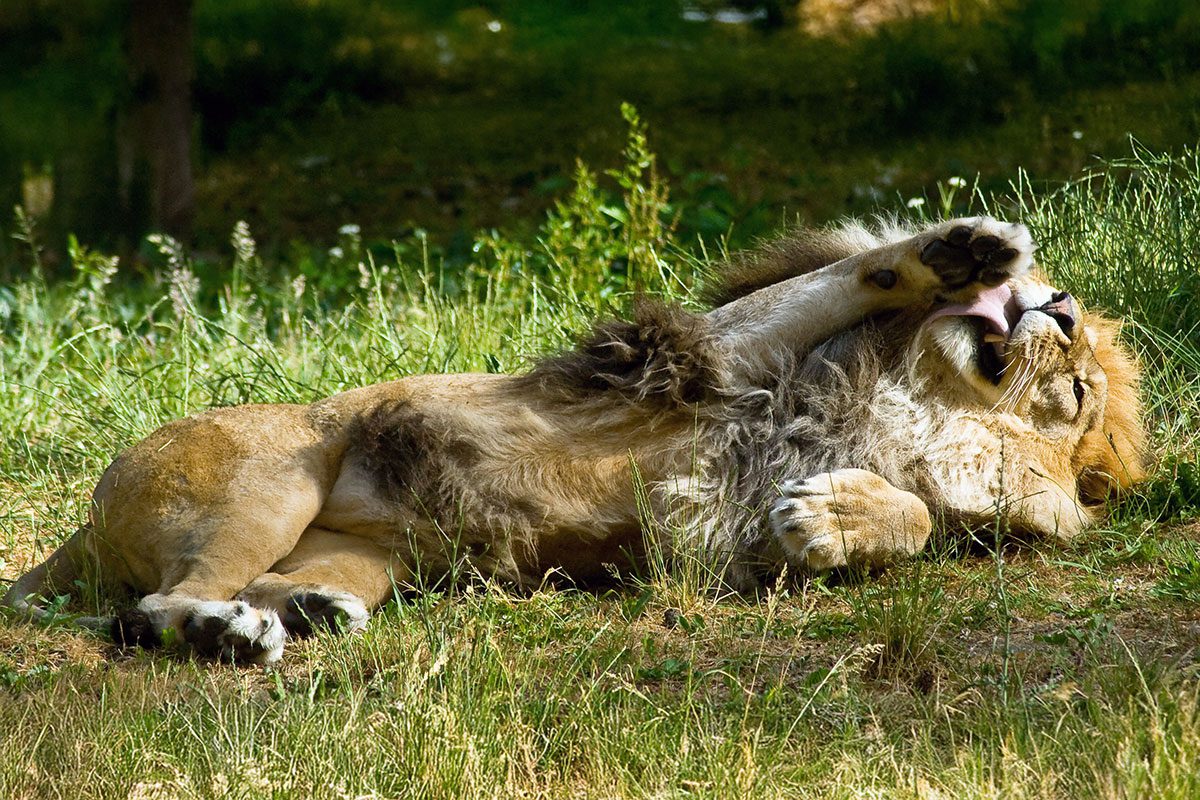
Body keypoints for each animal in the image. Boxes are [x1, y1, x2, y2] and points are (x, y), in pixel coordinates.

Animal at [3, 217, 1146, 663]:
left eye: (1075, 387)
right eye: (1070, 336)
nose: (1055, 306)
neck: (905, 408)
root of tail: (79, 534)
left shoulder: (719, 524)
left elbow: (914, 518)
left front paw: (835, 518)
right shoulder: (712, 357)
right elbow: (851, 271)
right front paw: (966, 249)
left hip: (365, 553)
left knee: (218, 597)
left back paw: (298, 615)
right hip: (273, 474)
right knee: (152, 606)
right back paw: (227, 630)